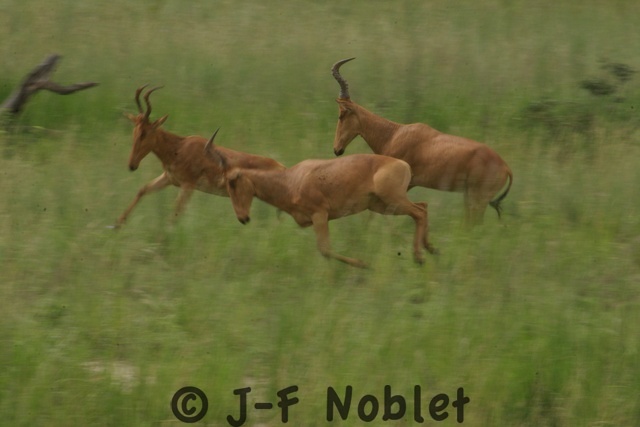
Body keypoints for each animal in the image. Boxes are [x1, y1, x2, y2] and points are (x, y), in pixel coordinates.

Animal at [113, 85, 284, 228]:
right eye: (135, 131)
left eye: (145, 133)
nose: (132, 165)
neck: (179, 147)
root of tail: (282, 167)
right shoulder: (169, 179)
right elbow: (142, 190)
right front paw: (117, 224)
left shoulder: (188, 186)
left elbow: (176, 212)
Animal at [205, 133, 437, 268]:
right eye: (225, 184)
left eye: (233, 182)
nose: (243, 218)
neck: (292, 179)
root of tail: (403, 165)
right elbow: (325, 252)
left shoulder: (320, 215)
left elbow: (324, 249)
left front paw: (363, 264)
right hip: (382, 206)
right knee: (423, 207)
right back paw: (430, 250)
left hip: (393, 200)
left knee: (419, 212)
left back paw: (419, 257)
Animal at [331, 58, 513, 226]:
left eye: (341, 115)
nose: (337, 149)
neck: (395, 134)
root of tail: (505, 167)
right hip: (469, 195)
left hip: (477, 198)